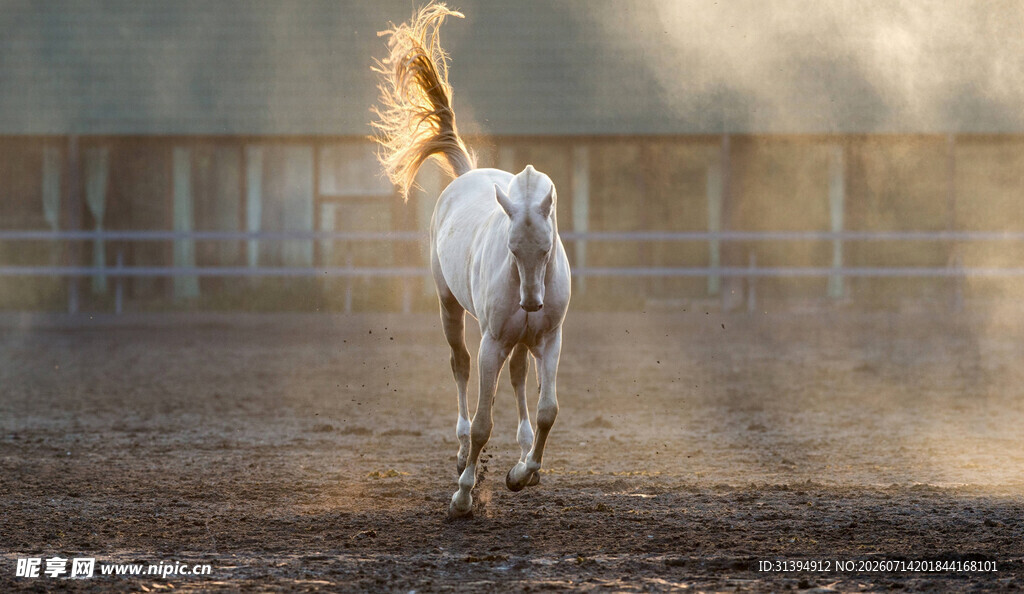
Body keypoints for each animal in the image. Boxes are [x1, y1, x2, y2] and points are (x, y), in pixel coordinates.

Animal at [371, 2, 571, 518]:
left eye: (547, 248)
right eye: (512, 248)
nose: (532, 303)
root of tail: (465, 174)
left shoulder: (549, 339)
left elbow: (548, 410)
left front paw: (523, 473)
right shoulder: (492, 343)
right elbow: (483, 421)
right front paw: (463, 495)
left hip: (520, 339)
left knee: (519, 379)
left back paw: (520, 452)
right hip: (450, 307)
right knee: (459, 366)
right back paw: (462, 450)